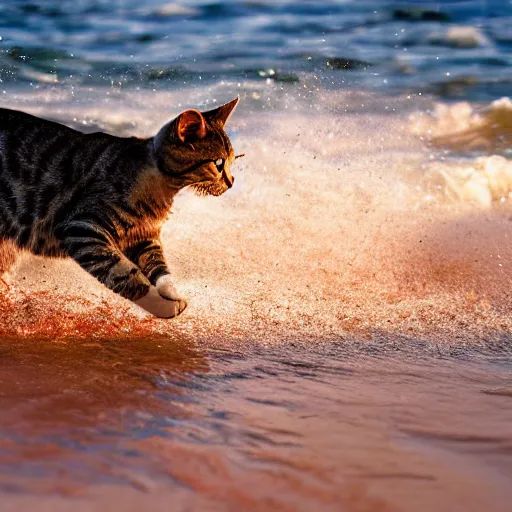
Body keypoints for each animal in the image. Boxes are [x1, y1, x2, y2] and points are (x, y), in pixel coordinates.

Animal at [0, 98, 240, 318]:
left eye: (232, 161)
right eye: (218, 164)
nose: (232, 182)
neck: (162, 188)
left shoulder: (145, 238)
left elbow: (159, 267)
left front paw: (171, 292)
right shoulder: (82, 227)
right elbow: (124, 273)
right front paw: (162, 305)